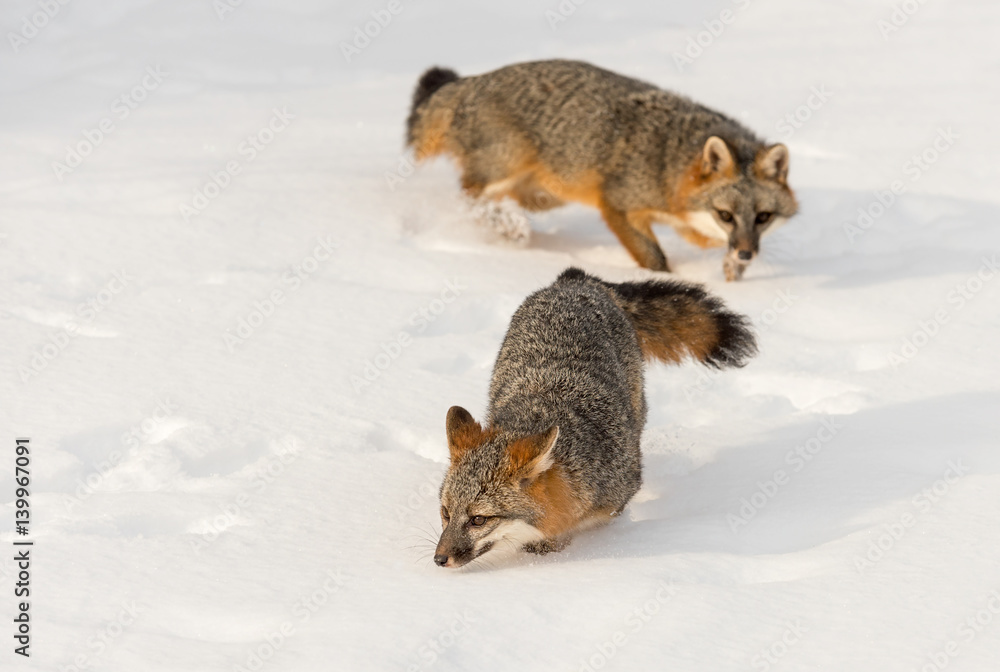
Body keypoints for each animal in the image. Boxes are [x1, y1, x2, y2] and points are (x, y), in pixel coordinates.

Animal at [406, 59, 799, 281]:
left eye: (763, 217)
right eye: (726, 215)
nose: (747, 253)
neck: (667, 162)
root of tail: (474, 80)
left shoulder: (690, 225)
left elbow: (711, 244)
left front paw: (733, 271)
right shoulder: (617, 205)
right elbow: (654, 259)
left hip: (547, 193)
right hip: (505, 170)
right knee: (468, 199)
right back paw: (504, 225)